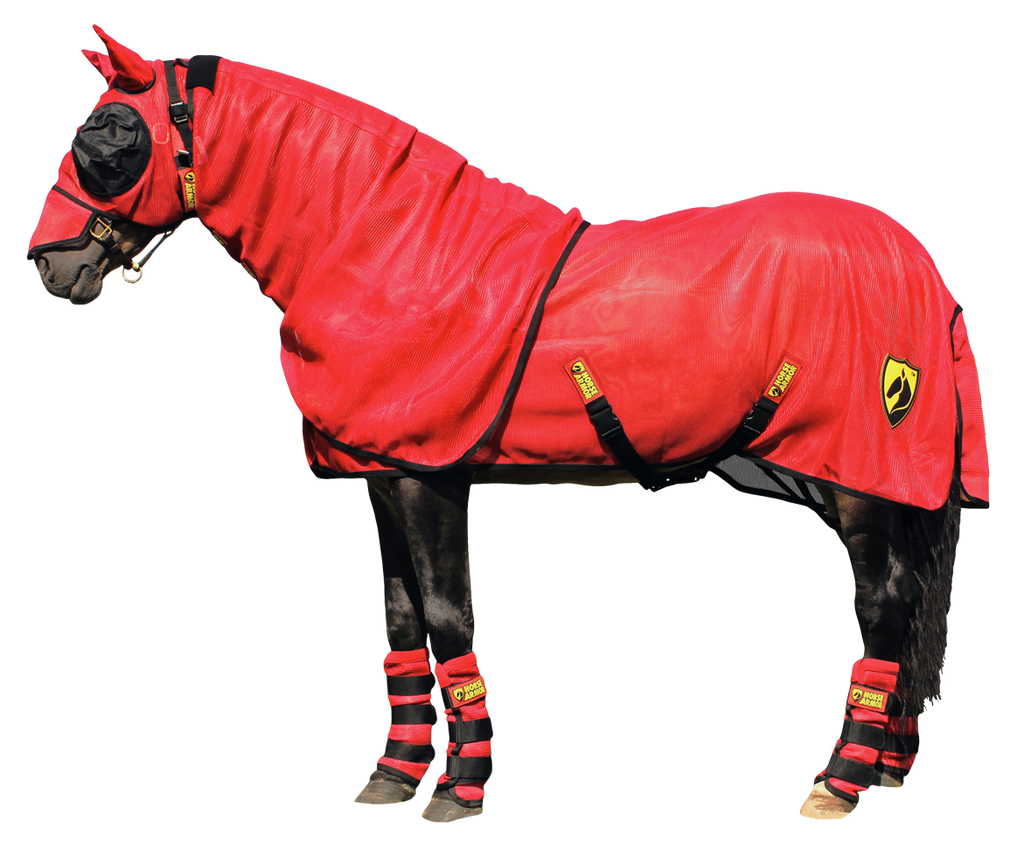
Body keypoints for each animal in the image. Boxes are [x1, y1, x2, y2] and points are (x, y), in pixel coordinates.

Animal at [26, 23, 991, 825]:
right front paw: (393, 772)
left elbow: (449, 615)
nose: (50, 265)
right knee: (911, 607)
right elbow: (401, 619)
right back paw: (887, 767)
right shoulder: (382, 471)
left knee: (885, 607)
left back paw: (840, 782)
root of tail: (922, 266)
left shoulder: (431, 476)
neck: (393, 250)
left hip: (854, 475)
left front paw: (459, 788)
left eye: (107, 136)